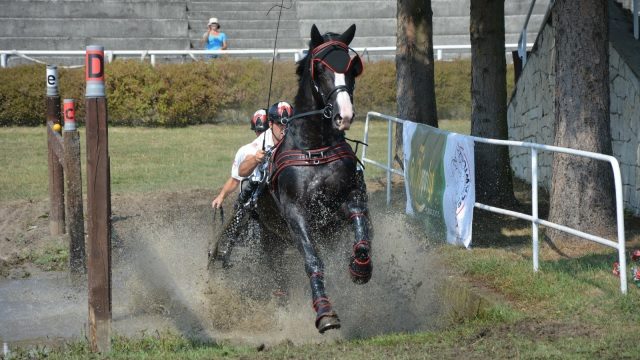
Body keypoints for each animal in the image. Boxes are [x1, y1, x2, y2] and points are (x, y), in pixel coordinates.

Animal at [258, 23, 372, 334]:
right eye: (320, 69)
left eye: (353, 67)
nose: (344, 115)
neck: (315, 147)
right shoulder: (294, 212)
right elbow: (312, 259)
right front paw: (325, 310)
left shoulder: (346, 199)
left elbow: (360, 233)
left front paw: (360, 268)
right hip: (270, 237)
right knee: (277, 271)